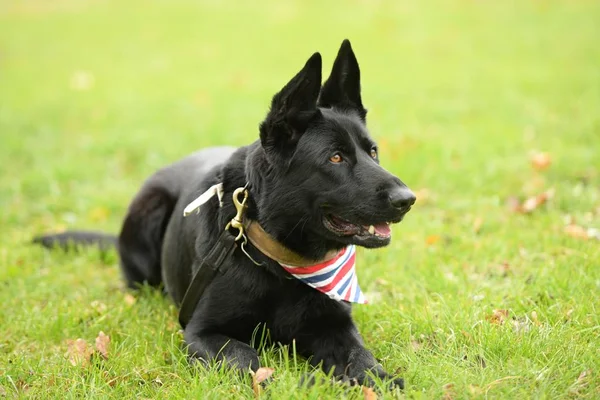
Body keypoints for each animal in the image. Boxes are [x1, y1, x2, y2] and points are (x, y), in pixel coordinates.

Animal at [35, 39, 414, 390]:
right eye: (335, 157)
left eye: (373, 152)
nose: (407, 199)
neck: (277, 262)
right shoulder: (204, 333)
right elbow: (250, 360)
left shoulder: (335, 326)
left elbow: (361, 356)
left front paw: (378, 379)